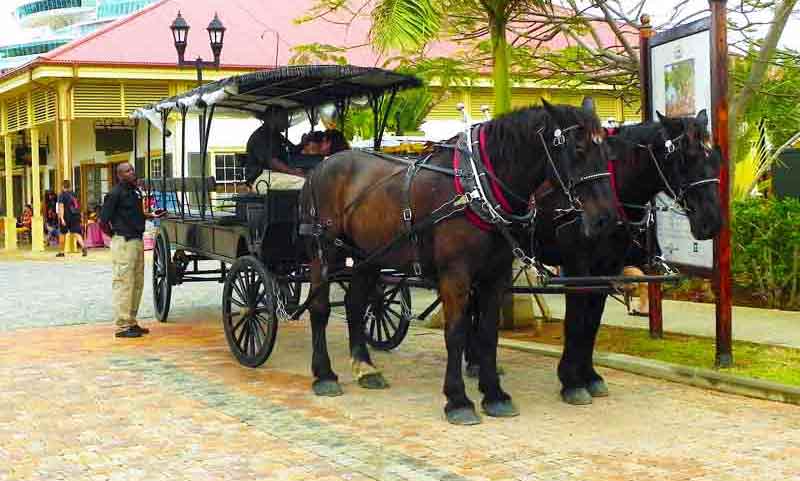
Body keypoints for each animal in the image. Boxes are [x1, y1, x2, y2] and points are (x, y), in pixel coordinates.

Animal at [300, 99, 620, 422]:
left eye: (607, 152)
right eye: (578, 148)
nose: (606, 219)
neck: (477, 188)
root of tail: (322, 167)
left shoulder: (496, 276)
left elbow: (488, 333)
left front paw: (494, 394)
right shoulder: (455, 275)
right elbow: (455, 332)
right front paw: (458, 400)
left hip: (368, 256)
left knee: (354, 303)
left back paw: (365, 367)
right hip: (324, 252)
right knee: (319, 308)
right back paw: (324, 374)